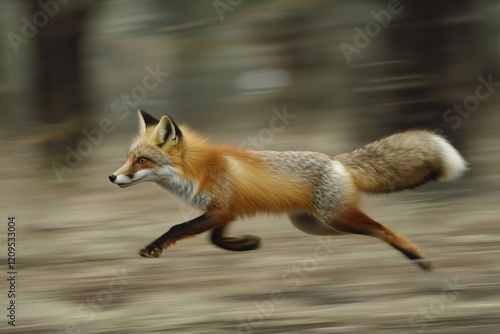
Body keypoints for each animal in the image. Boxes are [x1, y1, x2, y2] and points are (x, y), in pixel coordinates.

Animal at [110, 110, 468, 272]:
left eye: (142, 160)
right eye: (128, 157)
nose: (112, 177)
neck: (198, 170)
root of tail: (336, 160)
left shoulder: (220, 209)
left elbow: (177, 228)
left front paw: (153, 248)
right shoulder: (226, 212)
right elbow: (216, 239)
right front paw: (247, 244)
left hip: (337, 218)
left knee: (384, 229)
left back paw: (417, 256)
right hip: (316, 225)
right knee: (374, 231)